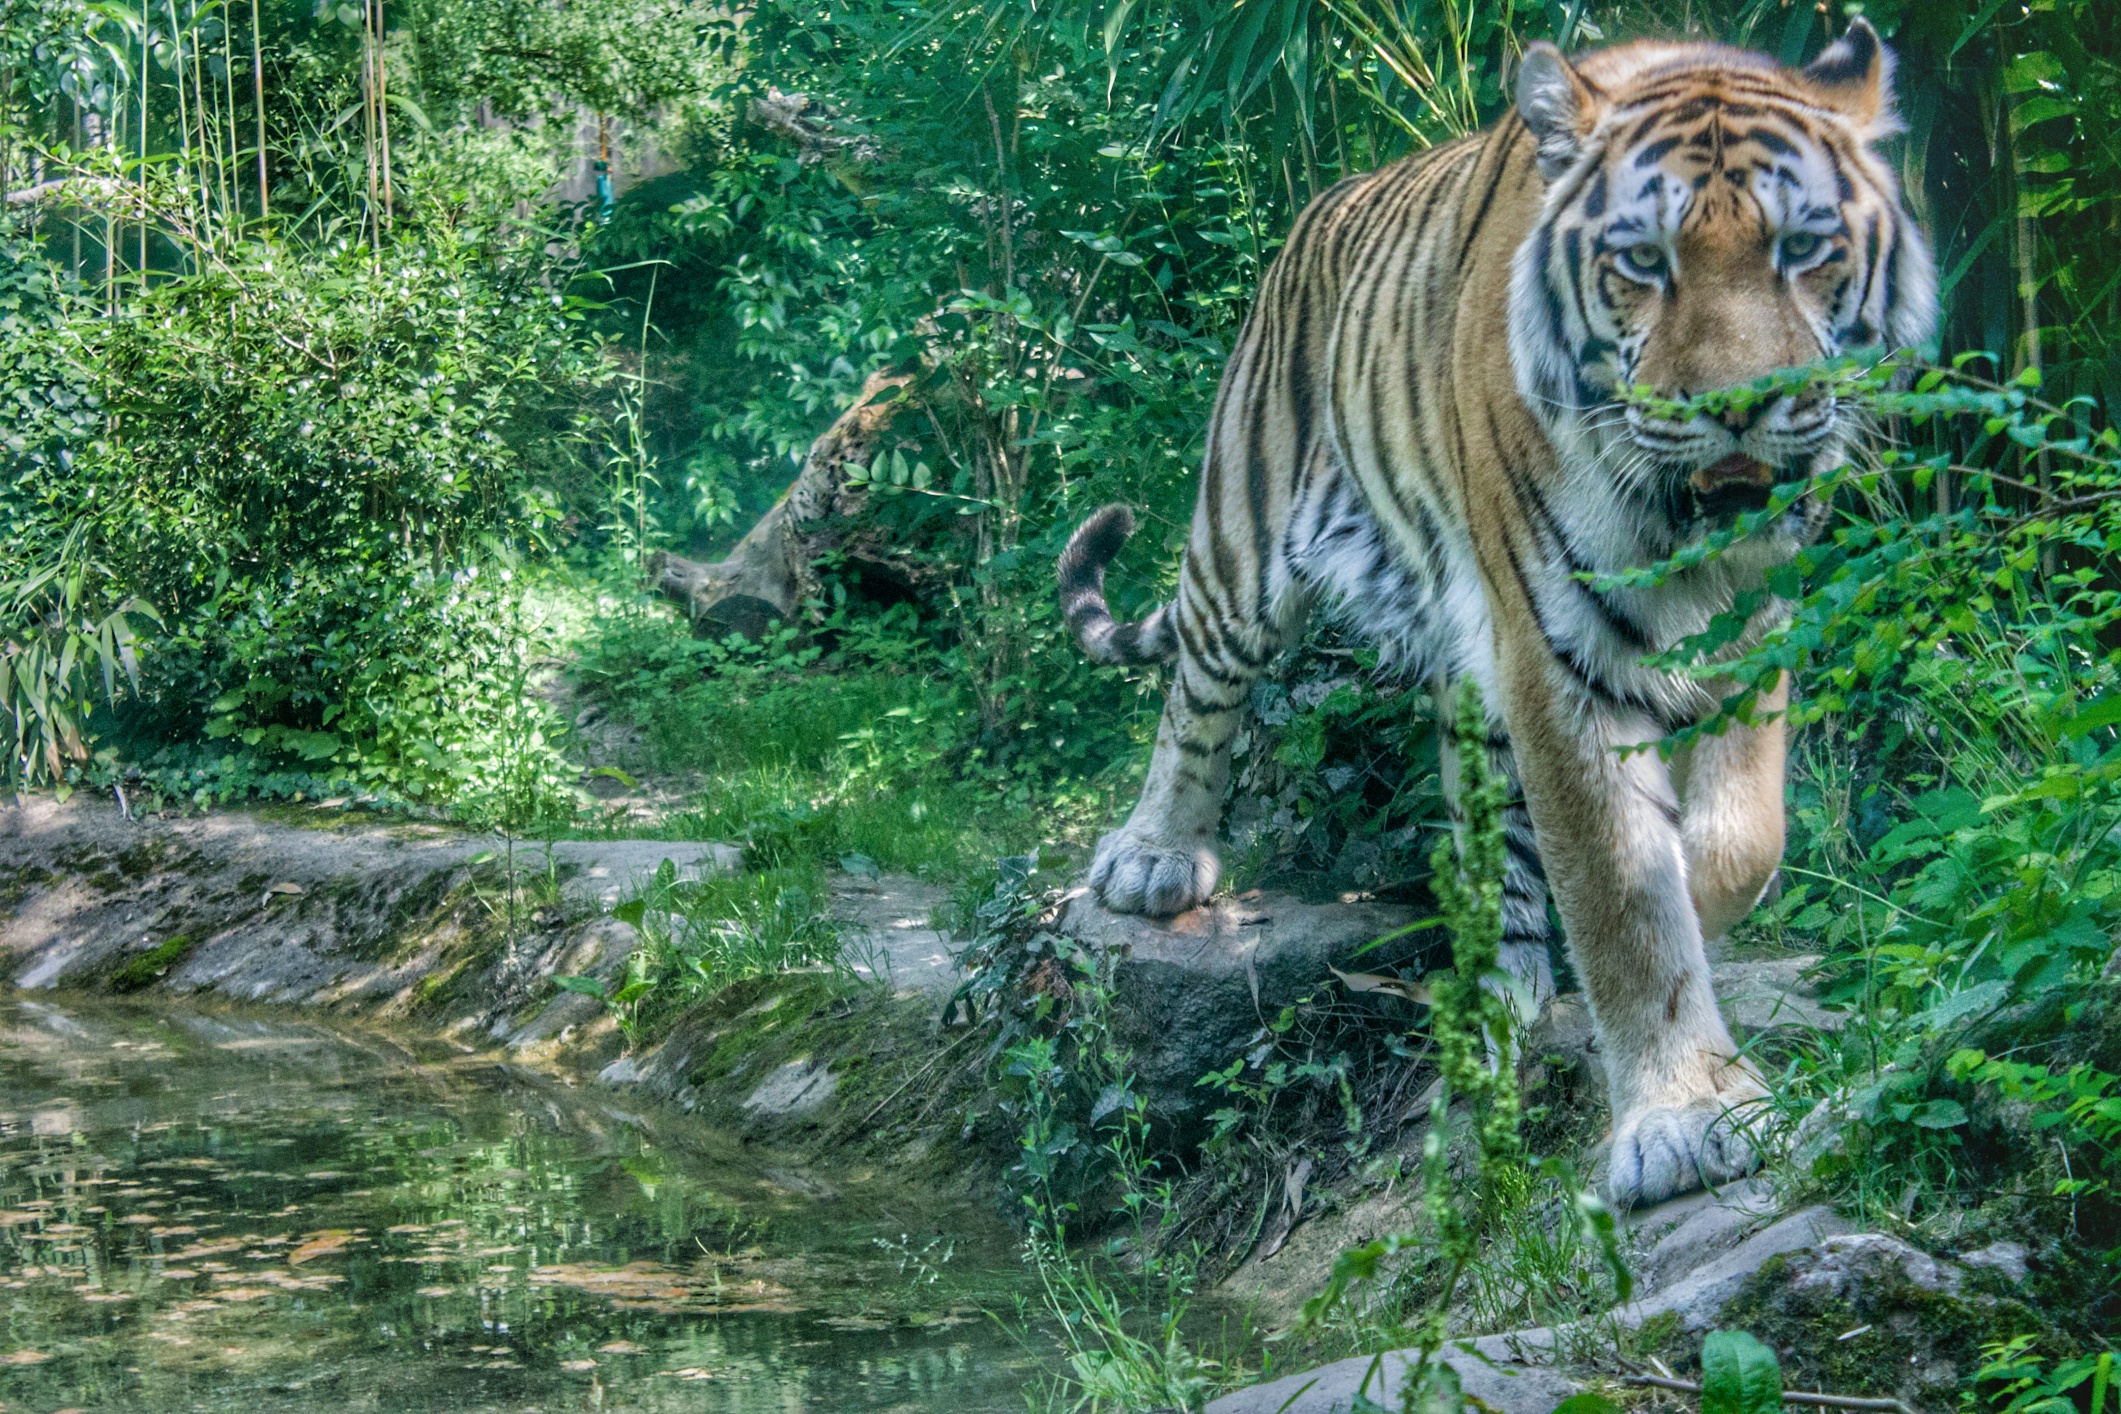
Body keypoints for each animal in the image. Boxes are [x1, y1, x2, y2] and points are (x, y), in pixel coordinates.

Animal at [1055, 19, 1936, 1207]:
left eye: (1803, 248)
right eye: (1642, 262)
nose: (1736, 410)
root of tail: (1315, 214)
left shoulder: (1754, 622)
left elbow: (1742, 836)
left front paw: (1701, 905)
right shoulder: (1555, 657)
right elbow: (1619, 891)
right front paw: (1684, 1115)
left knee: (1485, 823)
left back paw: (1507, 985)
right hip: (1246, 531)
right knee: (1198, 691)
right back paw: (1153, 859)